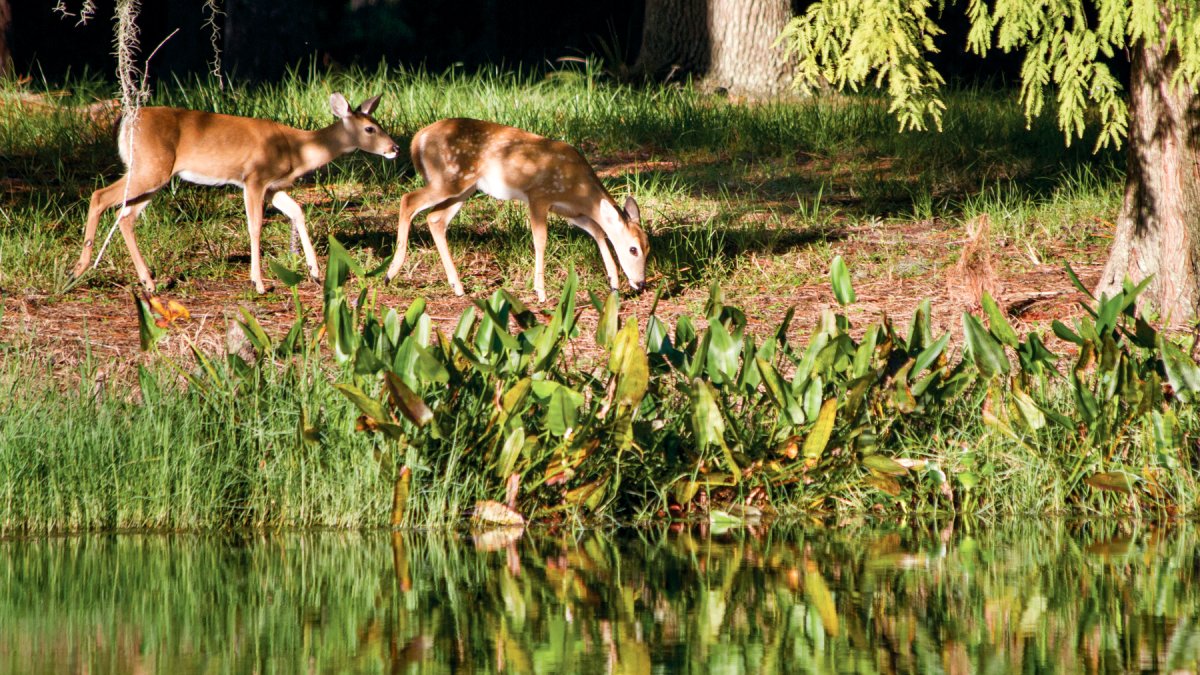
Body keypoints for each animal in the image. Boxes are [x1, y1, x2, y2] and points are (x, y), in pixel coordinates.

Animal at [70, 91, 398, 291]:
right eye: (370, 129)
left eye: (378, 123)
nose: (394, 148)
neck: (297, 149)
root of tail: (125, 123)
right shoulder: (254, 177)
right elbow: (255, 227)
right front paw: (259, 283)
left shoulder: (273, 187)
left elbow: (298, 211)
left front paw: (316, 273)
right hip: (149, 168)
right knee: (99, 197)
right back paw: (80, 268)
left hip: (153, 175)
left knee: (125, 216)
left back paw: (148, 282)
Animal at [384, 117, 648, 300]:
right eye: (633, 249)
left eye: (648, 248)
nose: (641, 283)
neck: (580, 189)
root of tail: (418, 138)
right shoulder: (539, 195)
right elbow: (541, 240)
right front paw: (540, 292)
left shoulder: (570, 211)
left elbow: (598, 231)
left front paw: (614, 283)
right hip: (448, 179)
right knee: (408, 200)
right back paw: (391, 273)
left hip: (464, 188)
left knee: (435, 218)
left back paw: (457, 286)